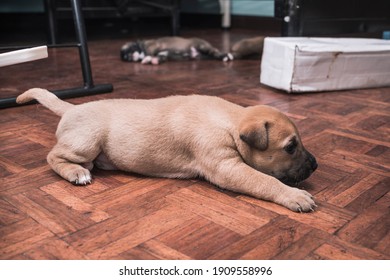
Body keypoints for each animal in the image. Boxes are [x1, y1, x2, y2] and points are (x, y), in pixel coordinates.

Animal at [16, 88, 318, 213]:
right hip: (87, 142)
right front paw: (294, 196)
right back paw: (76, 173)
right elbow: (265, 180)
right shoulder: (226, 167)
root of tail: (72, 108)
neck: (231, 121)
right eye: (291, 147)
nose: (315, 165)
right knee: (53, 156)